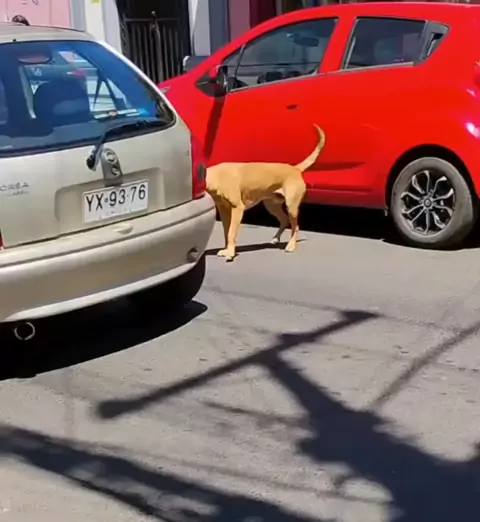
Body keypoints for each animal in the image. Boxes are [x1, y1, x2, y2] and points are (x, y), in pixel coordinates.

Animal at [206, 124, 326, 262]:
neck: (216, 175)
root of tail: (295, 169)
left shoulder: (237, 208)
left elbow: (231, 233)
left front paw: (230, 253)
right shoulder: (224, 210)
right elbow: (226, 231)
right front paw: (227, 249)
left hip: (291, 207)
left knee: (295, 226)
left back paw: (291, 245)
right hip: (272, 206)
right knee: (284, 220)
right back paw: (276, 238)